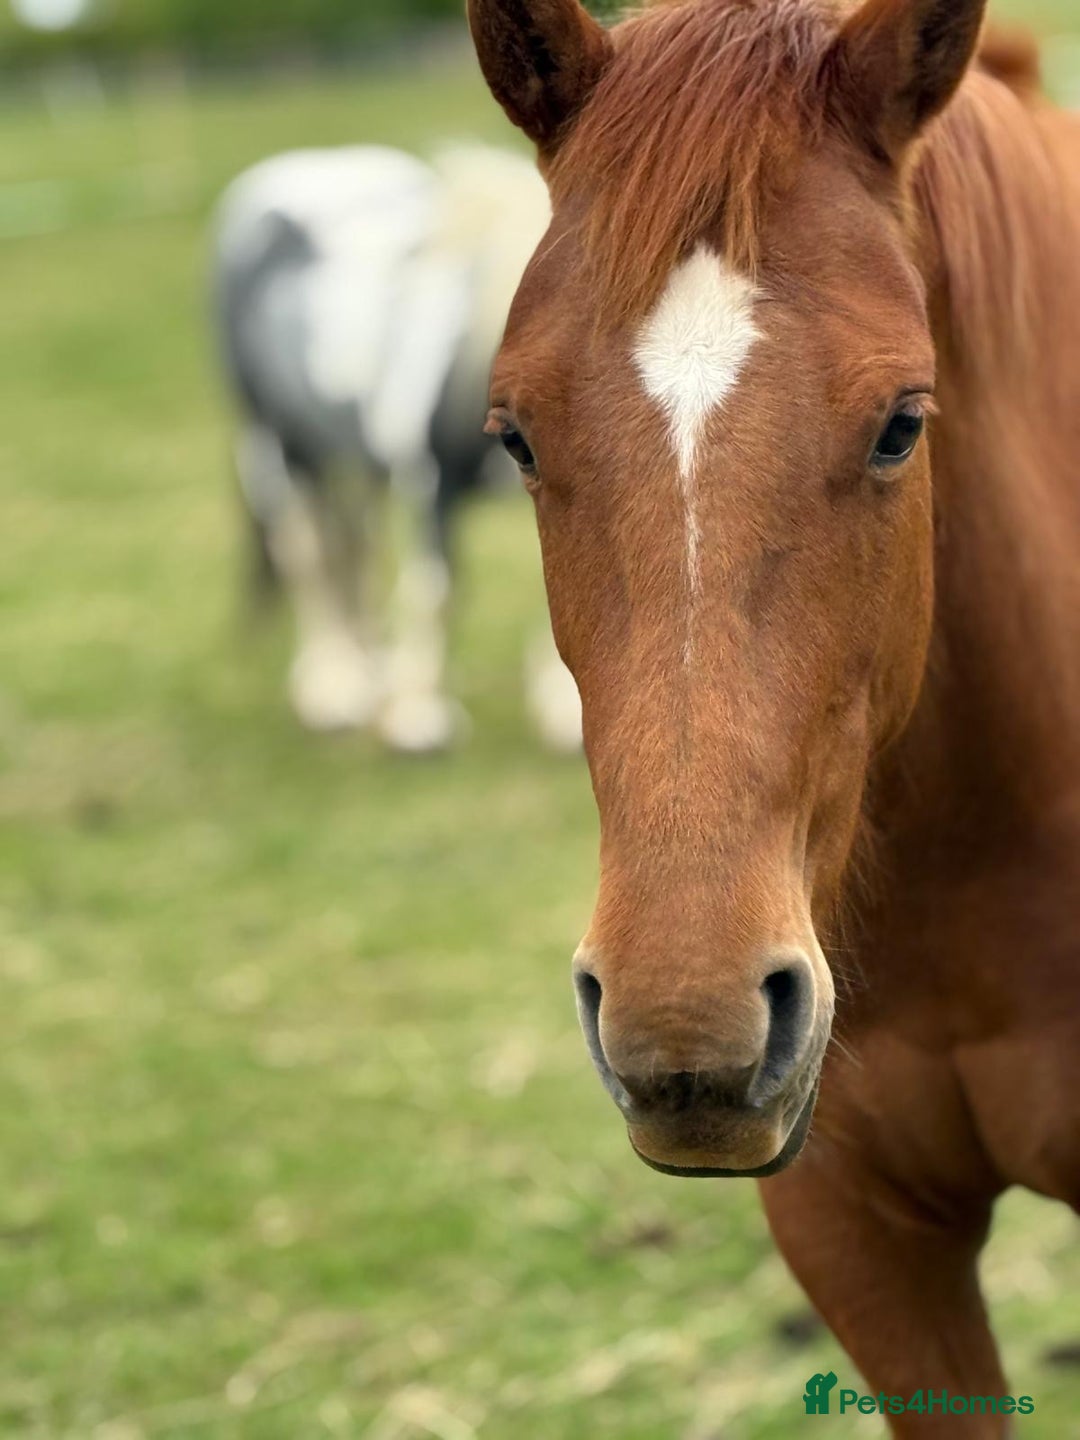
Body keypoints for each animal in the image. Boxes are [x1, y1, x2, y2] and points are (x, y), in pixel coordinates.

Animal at [212, 143, 581, 752]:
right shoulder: (430, 480)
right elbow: (437, 588)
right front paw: (417, 720)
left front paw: (566, 717)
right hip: (273, 444)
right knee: (307, 553)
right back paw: (333, 693)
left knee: (354, 544)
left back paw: (368, 676)